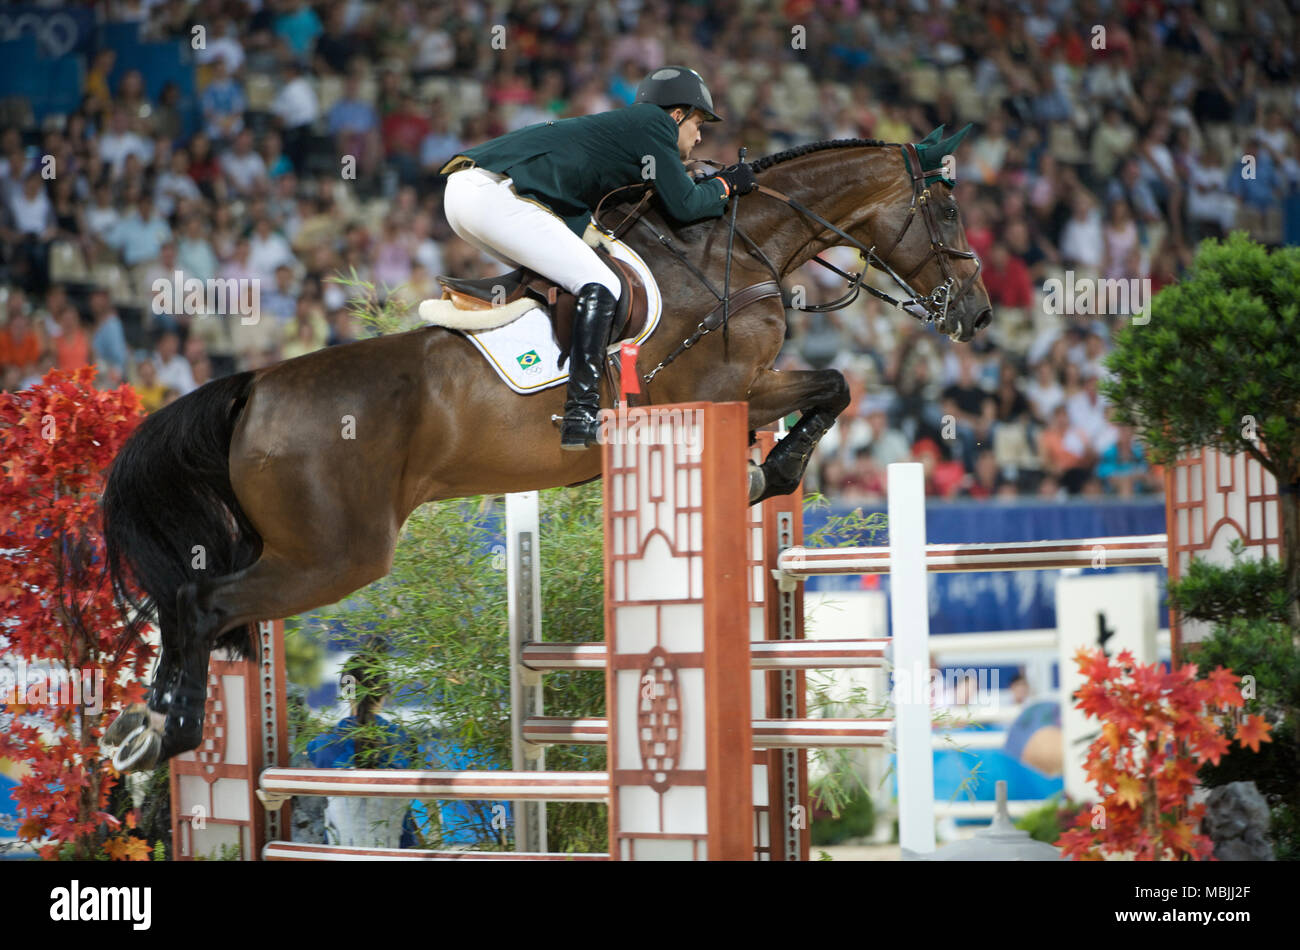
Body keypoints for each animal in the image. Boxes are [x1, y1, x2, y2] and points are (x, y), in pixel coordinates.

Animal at [104, 126, 993, 769]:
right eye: (948, 213)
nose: (978, 314)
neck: (732, 248)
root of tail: (254, 386)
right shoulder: (726, 387)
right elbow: (835, 385)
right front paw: (772, 470)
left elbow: (825, 392)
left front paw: (760, 470)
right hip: (335, 555)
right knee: (201, 602)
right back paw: (167, 733)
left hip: (291, 547)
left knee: (191, 605)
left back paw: (142, 728)